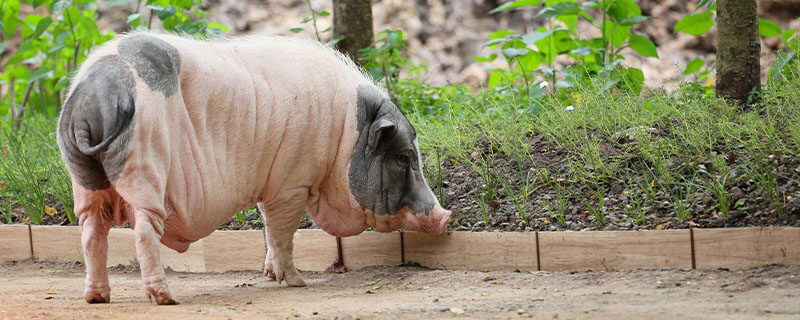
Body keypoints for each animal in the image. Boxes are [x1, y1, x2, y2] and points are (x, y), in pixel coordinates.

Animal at [57, 32, 450, 304]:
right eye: (403, 157)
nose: (446, 217)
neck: (344, 135)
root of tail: (93, 96)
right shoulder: (292, 182)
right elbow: (282, 234)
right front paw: (296, 282)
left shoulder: (273, 185)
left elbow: (267, 229)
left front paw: (270, 276)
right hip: (144, 169)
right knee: (142, 232)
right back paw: (166, 298)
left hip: (84, 180)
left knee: (91, 233)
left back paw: (97, 298)